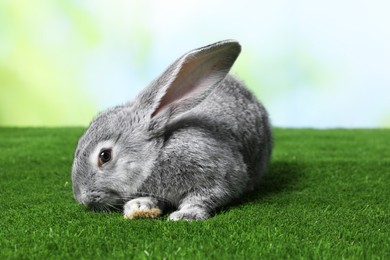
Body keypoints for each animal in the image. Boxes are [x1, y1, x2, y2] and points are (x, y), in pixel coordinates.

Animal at [72, 39, 272, 220]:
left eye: (105, 156)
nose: (82, 198)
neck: (156, 156)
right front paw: (138, 206)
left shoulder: (217, 176)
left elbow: (203, 198)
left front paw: (186, 215)